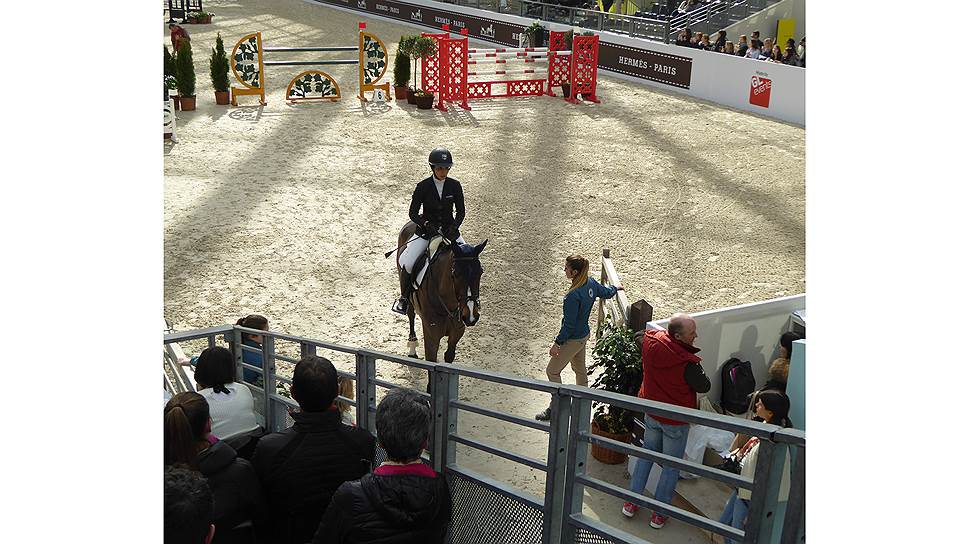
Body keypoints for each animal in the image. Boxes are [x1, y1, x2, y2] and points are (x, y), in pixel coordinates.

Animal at [396, 221, 488, 366]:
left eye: (481, 272)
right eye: (455, 273)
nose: (471, 316)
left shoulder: (457, 332)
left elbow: (449, 357)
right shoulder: (431, 336)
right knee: (410, 314)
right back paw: (412, 348)